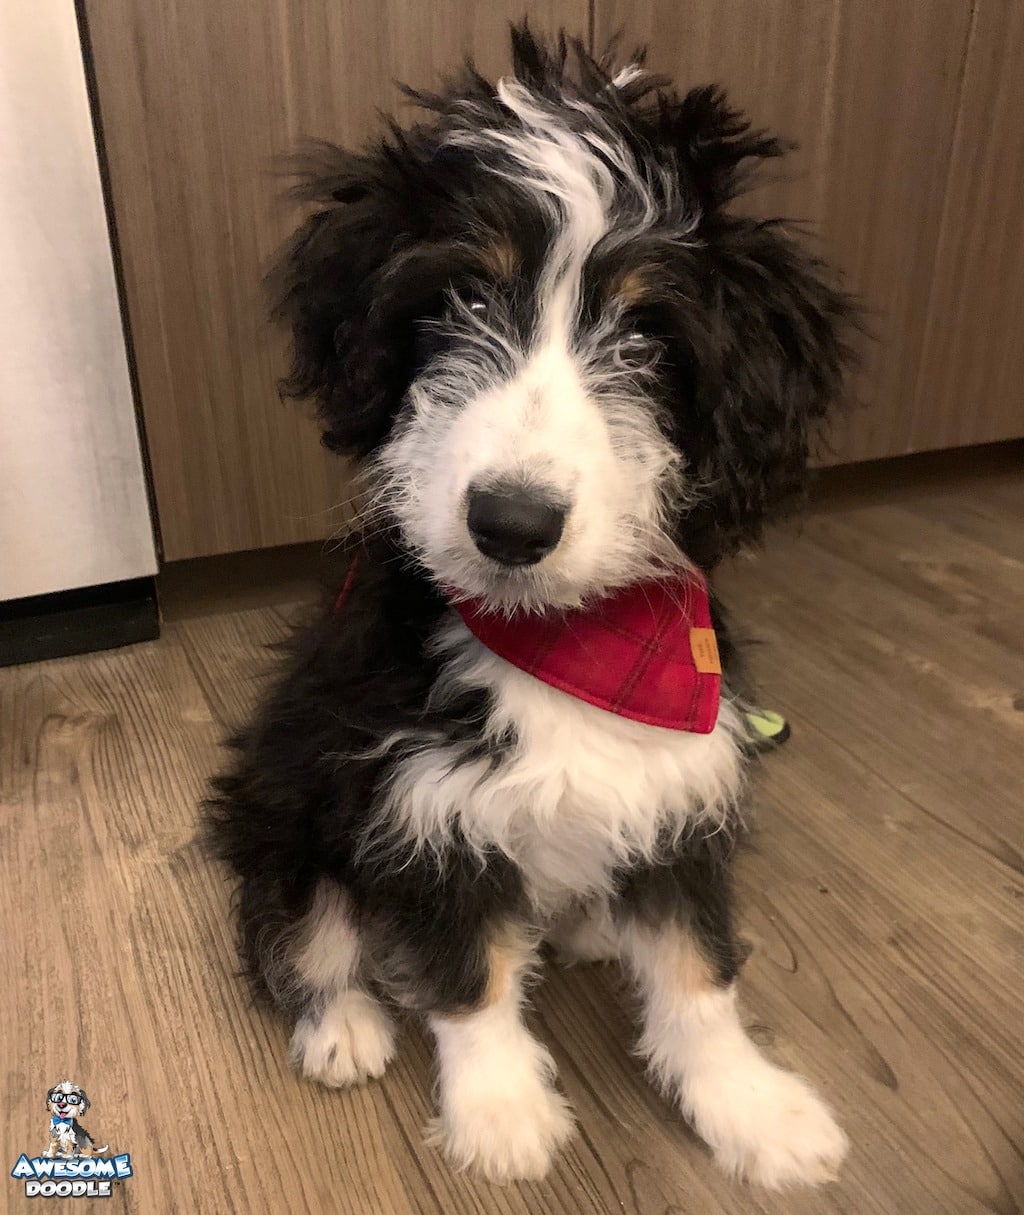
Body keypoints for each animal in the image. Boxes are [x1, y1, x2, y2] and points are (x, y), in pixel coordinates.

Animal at [204, 26, 855, 1185]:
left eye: (643, 338)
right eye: (466, 301)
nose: (510, 523)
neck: (565, 637)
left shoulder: (686, 783)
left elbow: (699, 970)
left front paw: (753, 1108)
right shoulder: (418, 803)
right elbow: (469, 975)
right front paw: (500, 1112)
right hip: (281, 803)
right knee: (299, 930)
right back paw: (341, 1024)